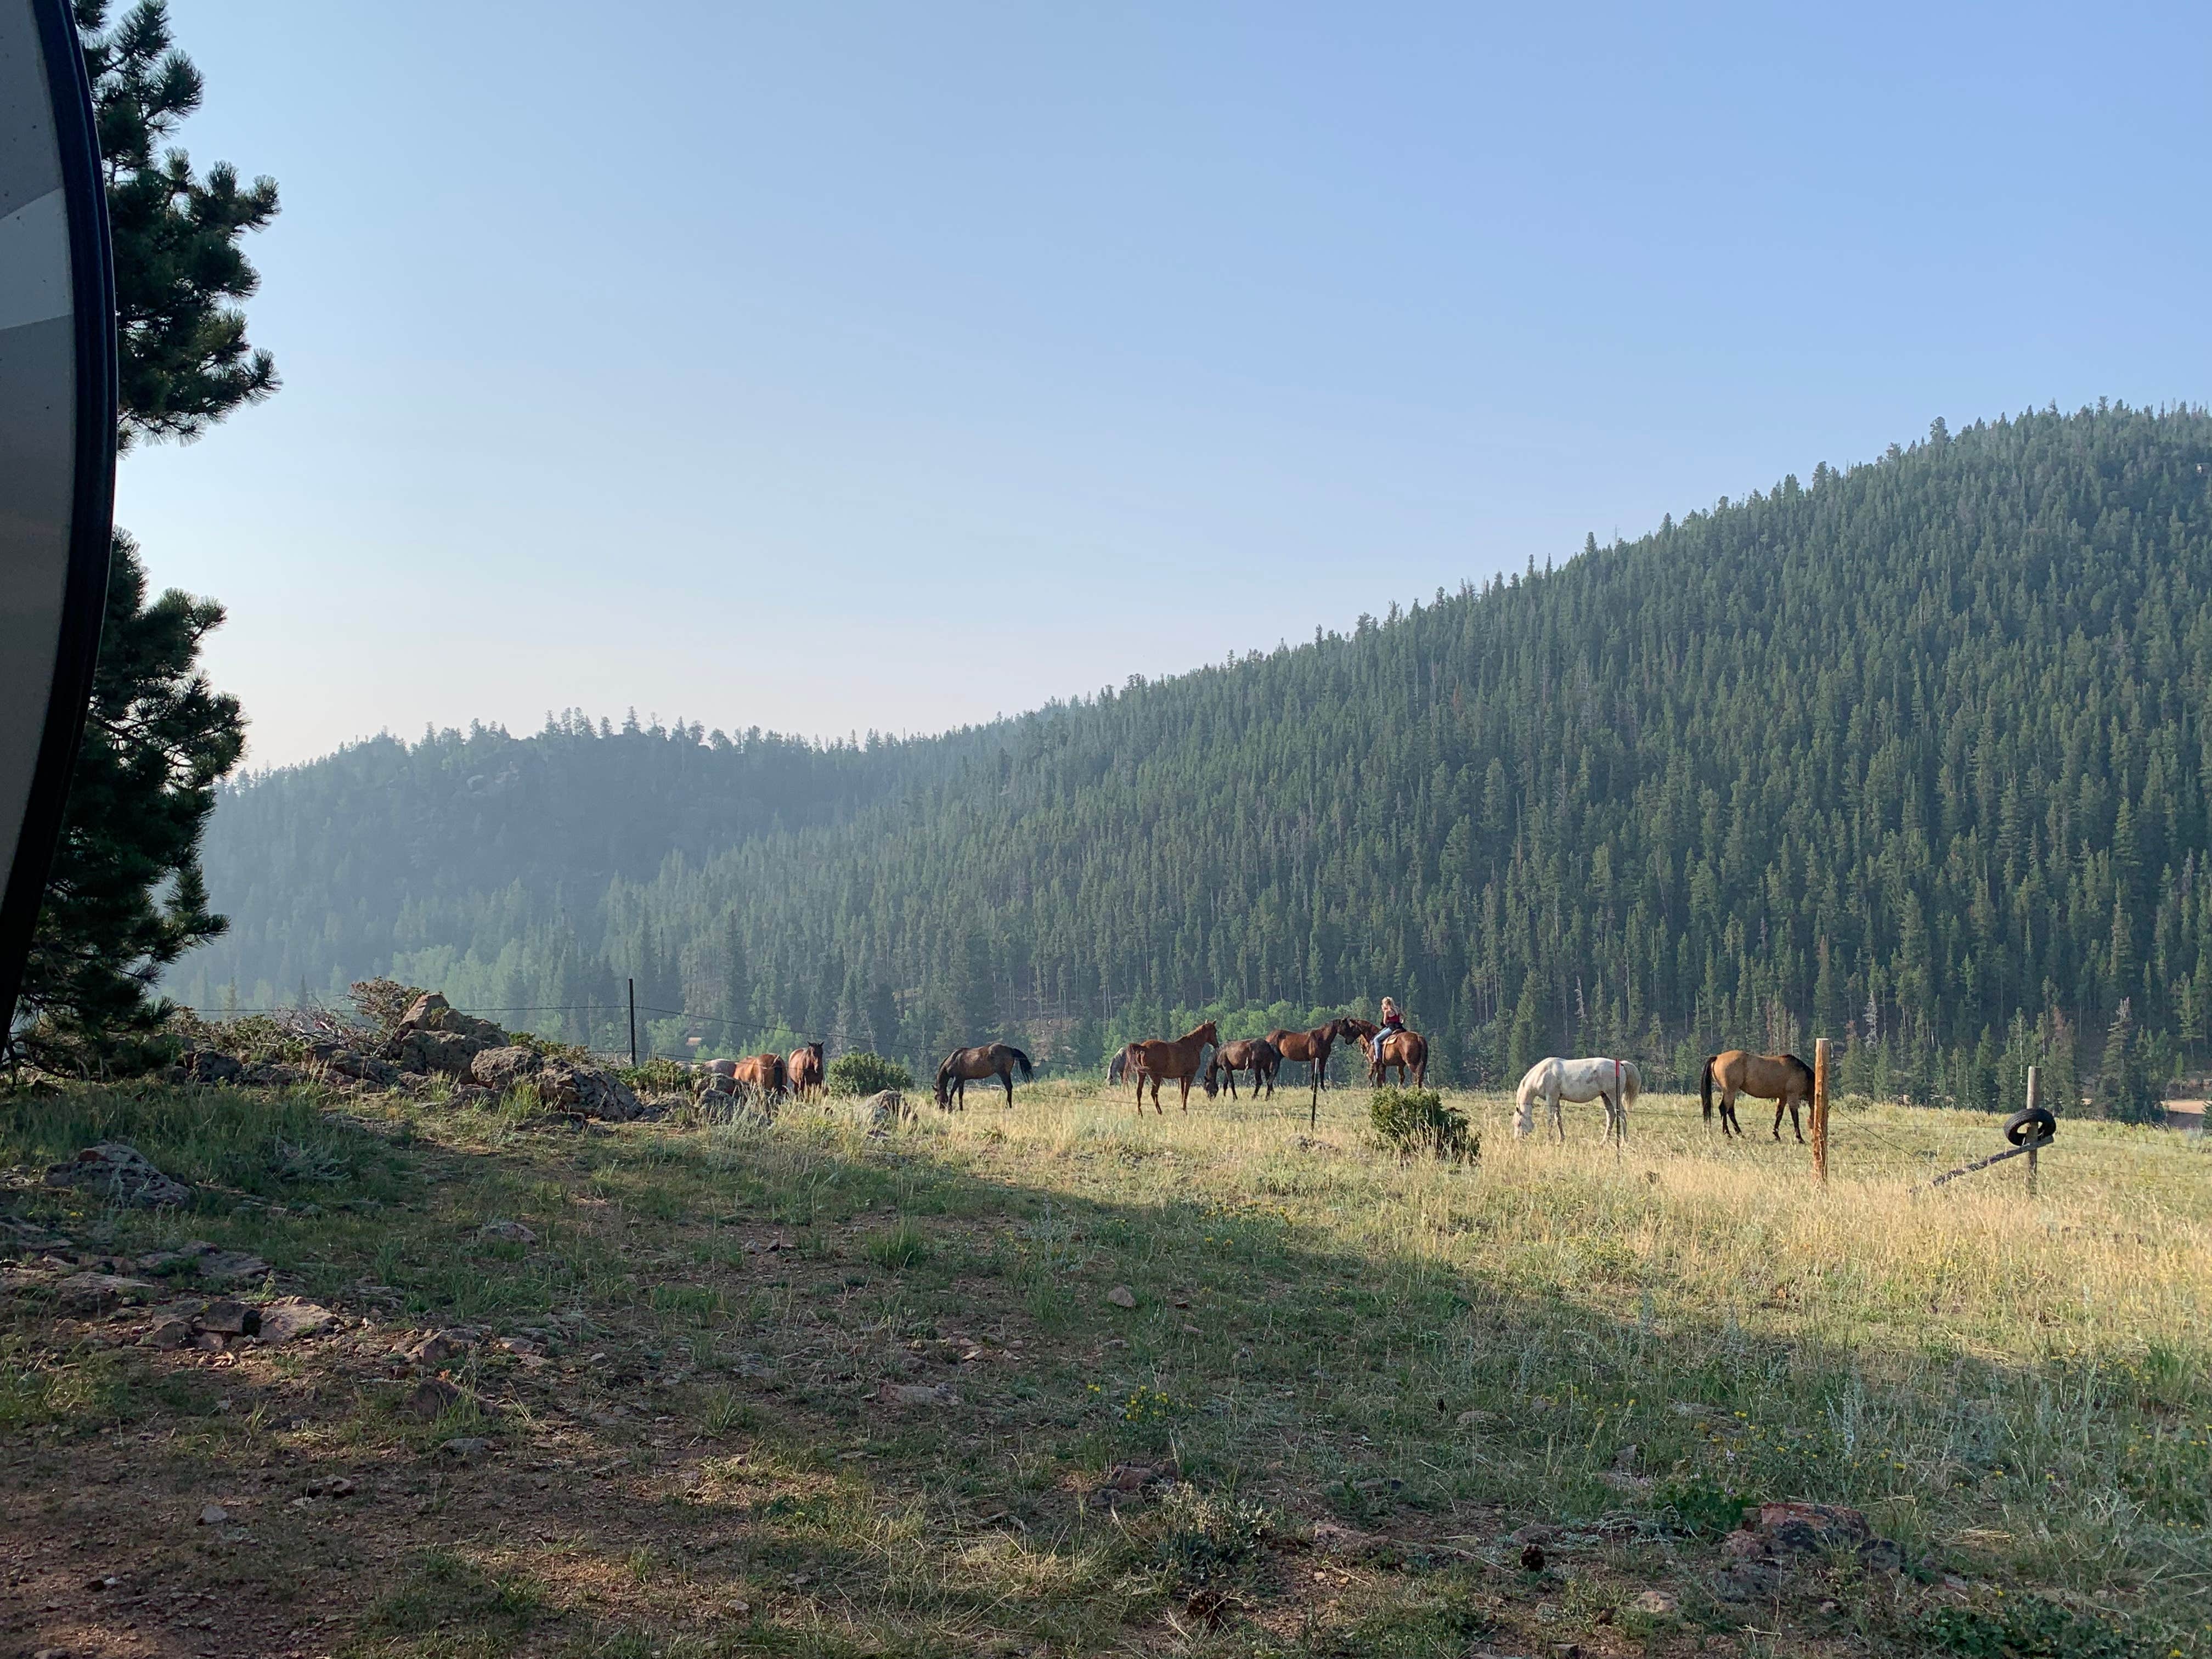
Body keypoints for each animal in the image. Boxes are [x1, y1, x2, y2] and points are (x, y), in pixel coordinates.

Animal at [935, 1042, 1034, 1110]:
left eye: (936, 1097)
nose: (941, 1108)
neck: (954, 1059)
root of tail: (1010, 1049)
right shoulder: (962, 1080)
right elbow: (960, 1094)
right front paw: (961, 1108)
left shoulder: (957, 1079)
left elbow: (952, 1092)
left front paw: (950, 1108)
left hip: (1003, 1073)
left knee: (1009, 1087)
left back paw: (1007, 1106)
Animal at [1127, 1021, 1219, 1115]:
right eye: (1215, 1031)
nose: (1217, 1045)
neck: (1192, 1046)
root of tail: (1144, 1047)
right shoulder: (1190, 1075)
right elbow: (1186, 1092)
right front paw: (1185, 1110)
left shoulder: (1182, 1076)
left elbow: (1182, 1091)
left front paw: (1183, 1109)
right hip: (1156, 1077)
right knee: (1153, 1093)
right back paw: (1160, 1112)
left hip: (1141, 1074)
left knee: (1139, 1092)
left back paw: (1140, 1113)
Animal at [1203, 1037, 1280, 1100]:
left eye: (1207, 1087)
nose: (1210, 1098)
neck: (1219, 1053)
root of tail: (1268, 1044)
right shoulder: (1227, 1069)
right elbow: (1225, 1084)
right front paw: (1225, 1097)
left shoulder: (1226, 1067)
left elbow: (1231, 1083)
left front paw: (1235, 1098)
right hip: (1265, 1067)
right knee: (1269, 1081)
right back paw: (1267, 1097)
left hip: (1257, 1068)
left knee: (1259, 1082)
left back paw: (1254, 1097)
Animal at [1513, 1056, 1639, 1143]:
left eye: (1519, 1123)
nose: (1517, 1140)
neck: (1543, 1073)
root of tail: (1620, 1064)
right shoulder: (1557, 1099)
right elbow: (1558, 1119)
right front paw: (1561, 1140)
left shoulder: (1551, 1098)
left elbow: (1550, 1119)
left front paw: (1549, 1140)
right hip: (1605, 1096)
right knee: (1611, 1116)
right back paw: (1604, 1142)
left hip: (1613, 1096)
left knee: (1622, 1115)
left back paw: (1624, 1142)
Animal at [1701, 1050, 1813, 1141]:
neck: (1801, 1072)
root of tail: (1717, 1057)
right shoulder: (1792, 1096)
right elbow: (1795, 1117)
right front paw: (1799, 1138)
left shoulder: (1783, 1098)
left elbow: (1779, 1115)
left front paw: (1776, 1135)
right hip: (1730, 1091)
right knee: (1724, 1109)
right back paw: (1728, 1133)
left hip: (1730, 1093)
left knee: (1730, 1111)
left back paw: (1739, 1134)